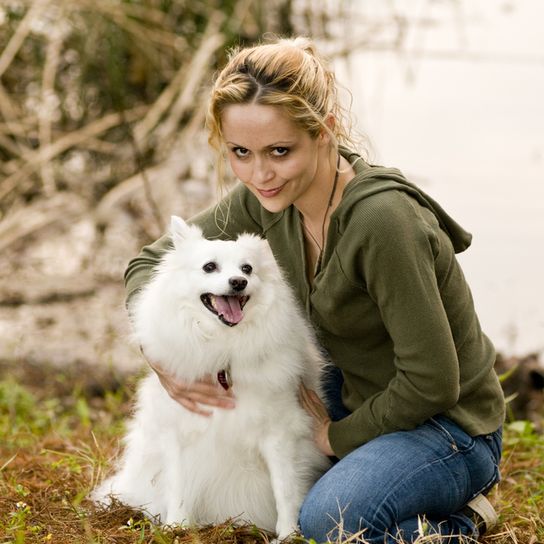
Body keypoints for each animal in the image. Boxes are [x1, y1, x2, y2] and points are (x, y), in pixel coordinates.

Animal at [93, 215, 330, 536]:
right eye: (209, 267)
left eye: (247, 269)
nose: (238, 282)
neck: (223, 351)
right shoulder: (177, 433)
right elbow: (178, 484)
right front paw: (176, 527)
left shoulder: (279, 433)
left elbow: (285, 488)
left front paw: (289, 534)